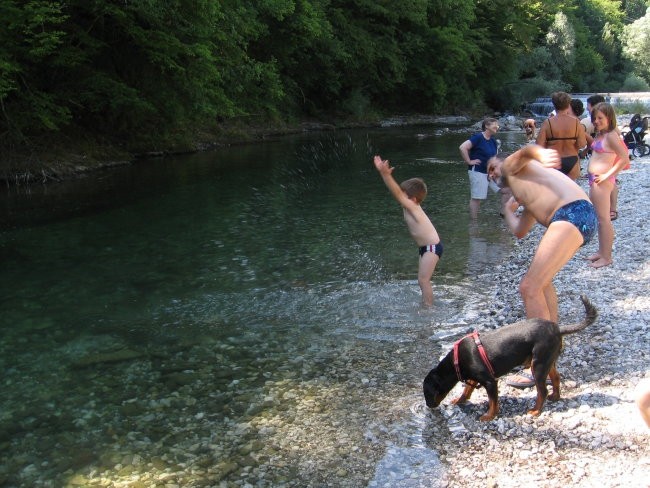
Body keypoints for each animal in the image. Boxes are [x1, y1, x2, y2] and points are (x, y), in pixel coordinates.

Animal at [422, 296, 596, 422]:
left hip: (538, 365)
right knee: (556, 378)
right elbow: (466, 390)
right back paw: (555, 397)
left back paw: (536, 411)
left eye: (427, 393)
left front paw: (489, 416)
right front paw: (459, 400)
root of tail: (558, 328)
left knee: (542, 391)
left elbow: (493, 401)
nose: (428, 406)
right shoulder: (474, 378)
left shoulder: (490, 382)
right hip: (547, 361)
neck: (456, 363)